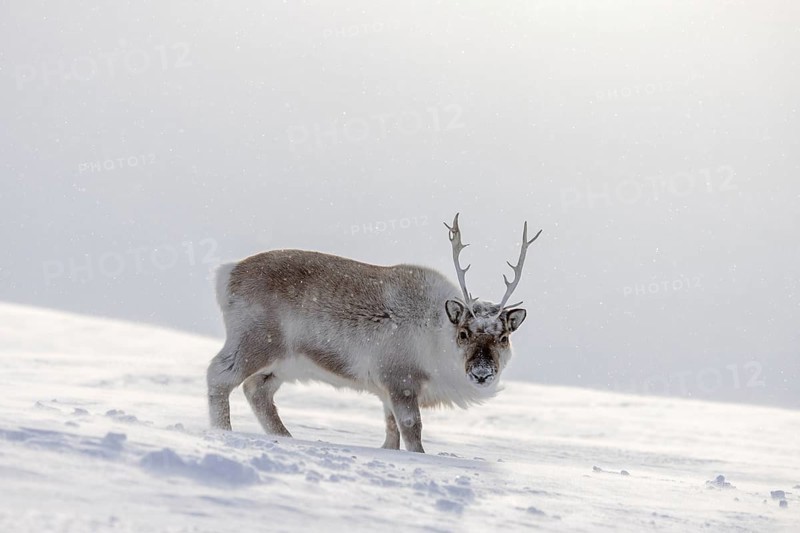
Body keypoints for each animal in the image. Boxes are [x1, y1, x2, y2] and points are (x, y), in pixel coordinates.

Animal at [207, 213, 541, 453]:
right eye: (464, 333)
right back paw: (222, 432)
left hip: (283, 364)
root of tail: (227, 274)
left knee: (256, 391)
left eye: (503, 337)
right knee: (219, 375)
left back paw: (286, 438)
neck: (436, 333)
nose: (482, 373)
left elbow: (391, 433)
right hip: (255, 341)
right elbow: (412, 430)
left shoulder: (385, 391)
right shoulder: (401, 380)